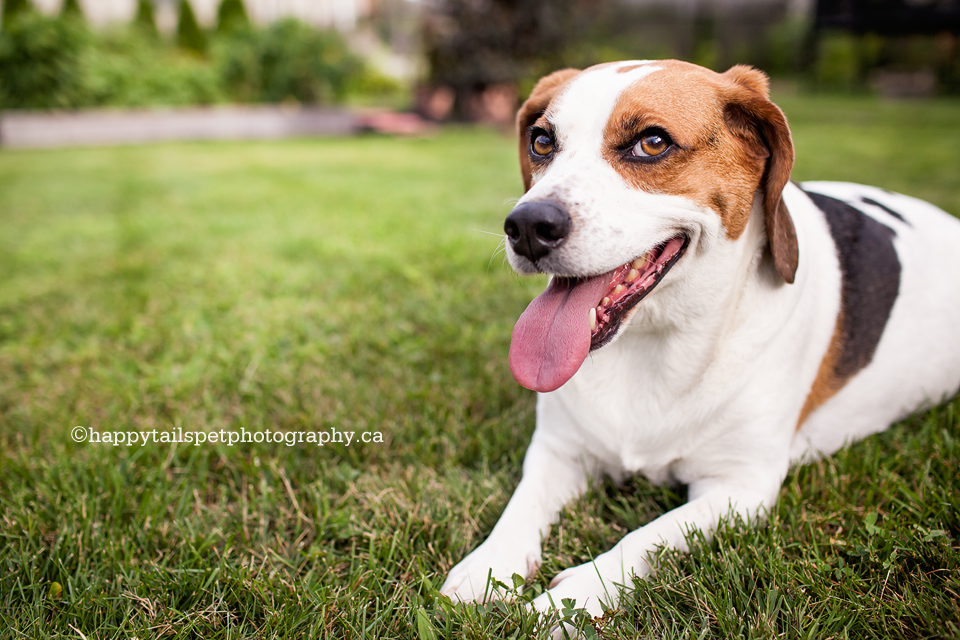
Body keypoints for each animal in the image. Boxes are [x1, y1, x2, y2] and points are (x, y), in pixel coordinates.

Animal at [438, 60, 960, 620]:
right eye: (541, 141)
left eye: (651, 142)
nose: (527, 226)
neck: (655, 344)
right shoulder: (559, 450)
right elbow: (521, 505)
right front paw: (488, 565)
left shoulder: (740, 488)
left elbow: (646, 537)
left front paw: (575, 598)